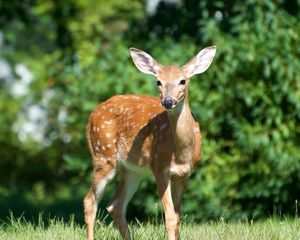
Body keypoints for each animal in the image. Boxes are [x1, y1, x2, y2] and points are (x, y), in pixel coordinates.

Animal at [83, 45, 217, 240]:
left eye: (183, 81)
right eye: (158, 82)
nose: (168, 101)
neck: (180, 152)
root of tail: (92, 115)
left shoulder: (184, 174)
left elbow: (177, 218)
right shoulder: (159, 168)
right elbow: (170, 218)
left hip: (132, 169)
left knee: (115, 205)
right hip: (103, 155)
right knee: (90, 201)